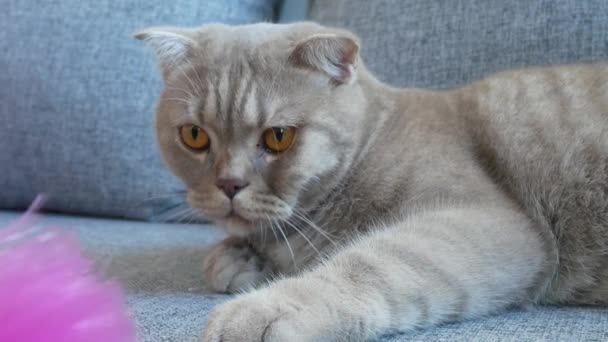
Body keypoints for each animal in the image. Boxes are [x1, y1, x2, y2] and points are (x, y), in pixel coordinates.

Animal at [135, 22, 608, 340]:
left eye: (278, 136)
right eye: (194, 136)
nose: (229, 184)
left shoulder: (488, 221)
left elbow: (375, 261)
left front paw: (265, 308)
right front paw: (239, 258)